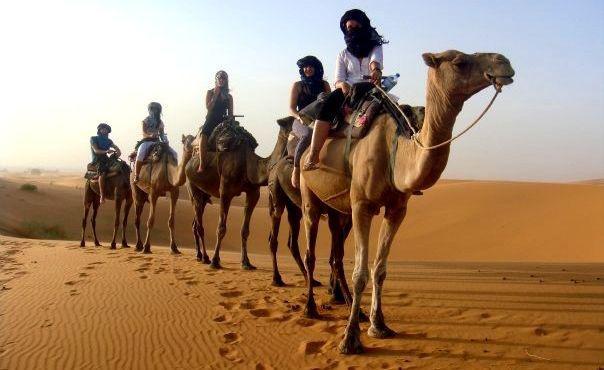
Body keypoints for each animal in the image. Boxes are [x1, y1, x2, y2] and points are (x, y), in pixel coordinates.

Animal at [185, 118, 294, 268]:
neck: (248, 163)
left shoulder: (253, 193)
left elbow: (245, 230)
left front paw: (246, 262)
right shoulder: (225, 191)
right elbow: (221, 228)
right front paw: (215, 261)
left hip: (204, 194)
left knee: (195, 222)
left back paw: (199, 255)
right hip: (192, 186)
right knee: (199, 224)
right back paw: (206, 257)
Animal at [298, 49, 516, 352]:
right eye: (459, 61)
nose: (503, 62)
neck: (396, 152)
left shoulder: (397, 209)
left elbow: (379, 270)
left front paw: (378, 325)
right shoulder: (362, 205)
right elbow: (360, 273)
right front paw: (349, 339)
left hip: (338, 208)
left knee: (336, 256)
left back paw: (351, 307)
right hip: (309, 196)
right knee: (310, 252)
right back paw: (310, 308)